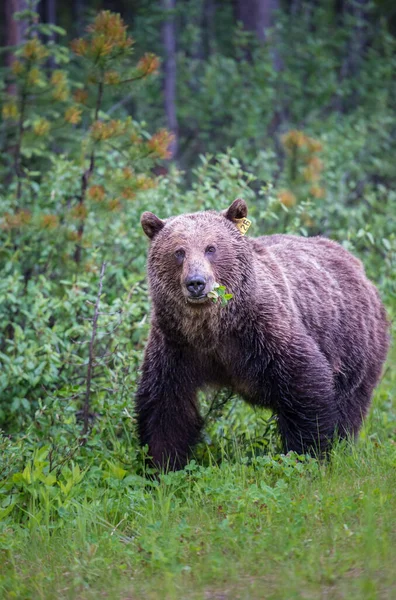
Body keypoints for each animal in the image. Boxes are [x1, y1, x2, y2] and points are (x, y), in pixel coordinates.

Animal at [137, 199, 390, 472]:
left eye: (211, 248)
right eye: (179, 251)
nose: (196, 282)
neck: (213, 329)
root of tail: (358, 267)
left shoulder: (263, 332)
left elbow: (305, 384)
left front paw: (308, 453)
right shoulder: (175, 344)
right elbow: (165, 407)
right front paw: (162, 465)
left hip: (354, 342)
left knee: (349, 403)